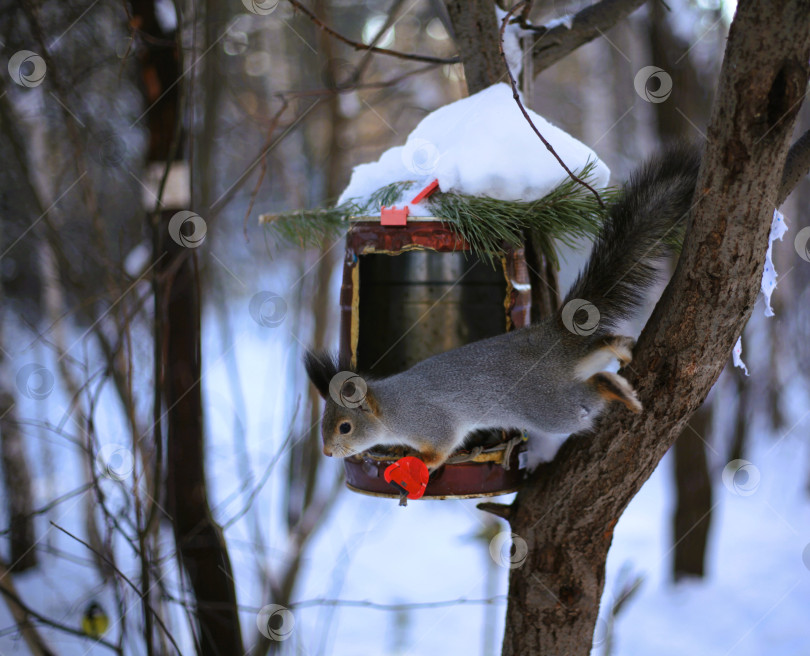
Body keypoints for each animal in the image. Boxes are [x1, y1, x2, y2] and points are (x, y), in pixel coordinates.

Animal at [304, 144, 700, 472]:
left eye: (345, 426)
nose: (326, 452)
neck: (391, 409)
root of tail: (551, 339)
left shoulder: (432, 422)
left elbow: (442, 447)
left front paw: (421, 461)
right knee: (599, 347)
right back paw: (619, 347)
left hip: (550, 407)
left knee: (587, 398)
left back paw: (614, 387)